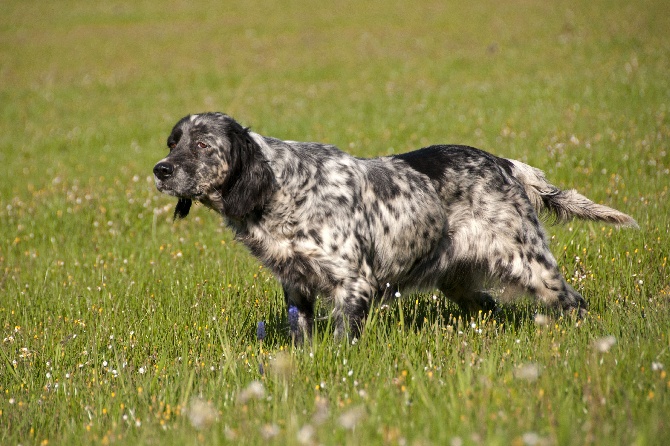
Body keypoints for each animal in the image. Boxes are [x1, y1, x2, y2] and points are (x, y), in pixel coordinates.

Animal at [154, 112, 640, 342]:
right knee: (487, 303)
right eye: (173, 142)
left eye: (203, 144)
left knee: (575, 301)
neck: (283, 186)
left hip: (532, 265)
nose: (160, 169)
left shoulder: (354, 283)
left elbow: (343, 340)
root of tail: (502, 162)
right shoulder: (296, 285)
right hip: (458, 281)